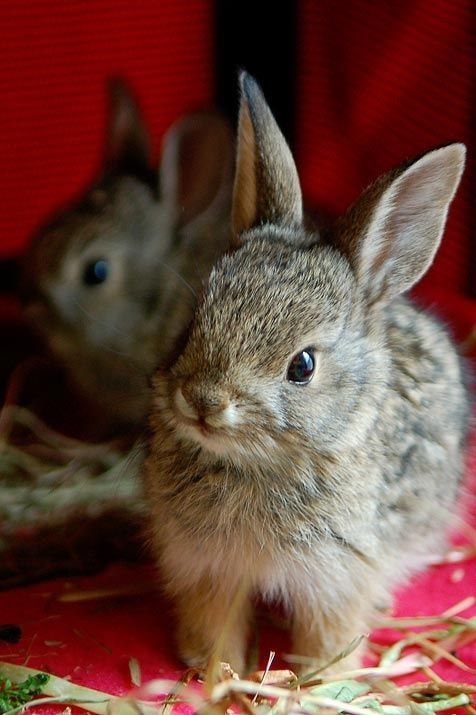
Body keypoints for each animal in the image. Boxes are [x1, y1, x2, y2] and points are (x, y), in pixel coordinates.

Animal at [143, 74, 470, 676]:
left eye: (303, 366)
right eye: (195, 320)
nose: (202, 400)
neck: (255, 465)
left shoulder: (340, 573)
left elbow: (328, 635)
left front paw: (318, 680)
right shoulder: (206, 565)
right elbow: (217, 622)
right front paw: (218, 674)